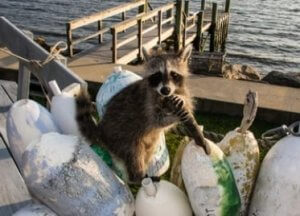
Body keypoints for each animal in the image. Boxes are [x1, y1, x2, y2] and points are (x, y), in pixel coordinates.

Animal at [76, 44, 207, 183]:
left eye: (174, 74)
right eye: (157, 75)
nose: (165, 90)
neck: (163, 95)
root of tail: (101, 131)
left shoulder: (181, 90)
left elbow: (186, 101)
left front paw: (181, 100)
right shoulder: (147, 103)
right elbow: (157, 121)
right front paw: (174, 116)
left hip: (148, 142)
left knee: (147, 152)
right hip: (122, 137)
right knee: (134, 154)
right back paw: (138, 177)